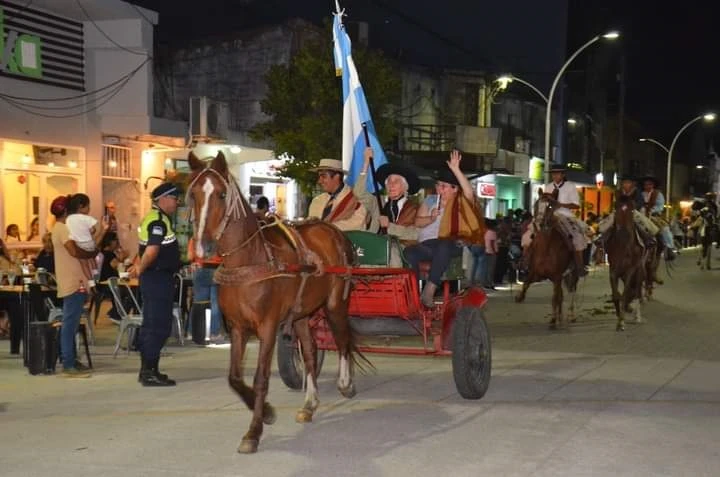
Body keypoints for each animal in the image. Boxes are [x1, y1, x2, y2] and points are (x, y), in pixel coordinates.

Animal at [187, 152, 366, 454]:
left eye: (221, 194)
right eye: (193, 195)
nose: (204, 247)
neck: (249, 261)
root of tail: (333, 231)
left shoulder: (268, 327)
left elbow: (260, 379)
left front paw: (254, 431)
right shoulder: (237, 327)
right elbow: (234, 377)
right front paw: (268, 412)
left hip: (334, 305)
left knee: (342, 340)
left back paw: (345, 383)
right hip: (302, 313)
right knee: (310, 351)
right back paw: (309, 404)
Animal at [516, 190, 580, 328]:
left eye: (550, 206)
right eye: (536, 204)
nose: (538, 224)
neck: (546, 247)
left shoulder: (556, 276)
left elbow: (554, 298)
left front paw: (553, 320)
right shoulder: (537, 273)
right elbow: (526, 283)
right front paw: (519, 297)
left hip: (572, 274)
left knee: (572, 291)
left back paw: (570, 315)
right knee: (562, 294)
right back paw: (561, 317)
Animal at [600, 195, 648, 330]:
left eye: (632, 211)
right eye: (616, 210)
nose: (624, 233)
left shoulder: (630, 270)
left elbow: (626, 292)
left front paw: (621, 320)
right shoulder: (613, 270)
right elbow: (616, 294)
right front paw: (619, 318)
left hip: (639, 271)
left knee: (637, 290)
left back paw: (637, 316)